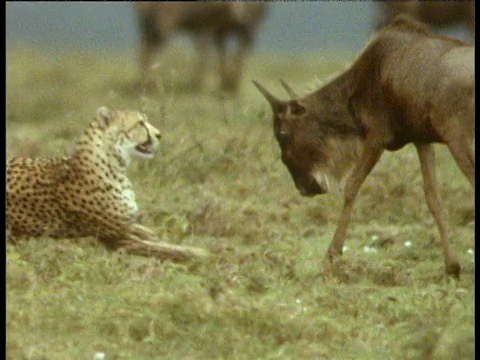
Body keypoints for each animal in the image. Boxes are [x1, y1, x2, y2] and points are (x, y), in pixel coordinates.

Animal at [5, 107, 207, 262]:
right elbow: (166, 249)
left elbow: (147, 232)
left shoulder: (126, 226)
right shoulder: (120, 239)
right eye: (140, 123)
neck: (115, 166)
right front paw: (201, 253)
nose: (159, 134)